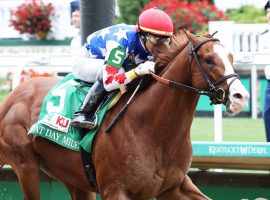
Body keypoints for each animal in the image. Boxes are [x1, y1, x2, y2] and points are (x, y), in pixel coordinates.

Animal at [0, 30, 249, 199]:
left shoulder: (175, 186)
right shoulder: (115, 190)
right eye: (208, 60)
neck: (154, 131)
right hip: (25, 165)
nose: (241, 96)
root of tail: (12, 97)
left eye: (231, 57)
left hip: (73, 178)